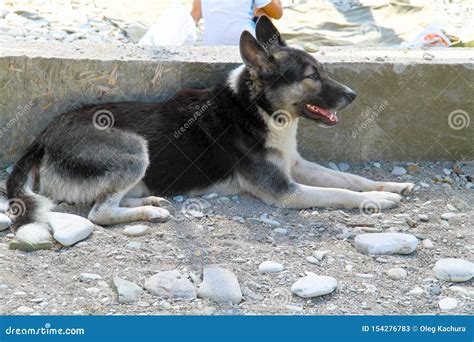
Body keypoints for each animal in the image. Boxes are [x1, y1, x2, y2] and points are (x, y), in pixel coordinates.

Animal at [3, 17, 412, 244]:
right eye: (312, 76)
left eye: (323, 70)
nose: (353, 95)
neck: (256, 108)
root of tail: (41, 140)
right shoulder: (286, 191)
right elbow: (340, 192)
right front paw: (379, 201)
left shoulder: (296, 165)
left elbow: (351, 179)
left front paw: (391, 186)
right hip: (133, 149)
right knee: (99, 213)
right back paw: (148, 213)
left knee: (107, 202)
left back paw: (149, 202)